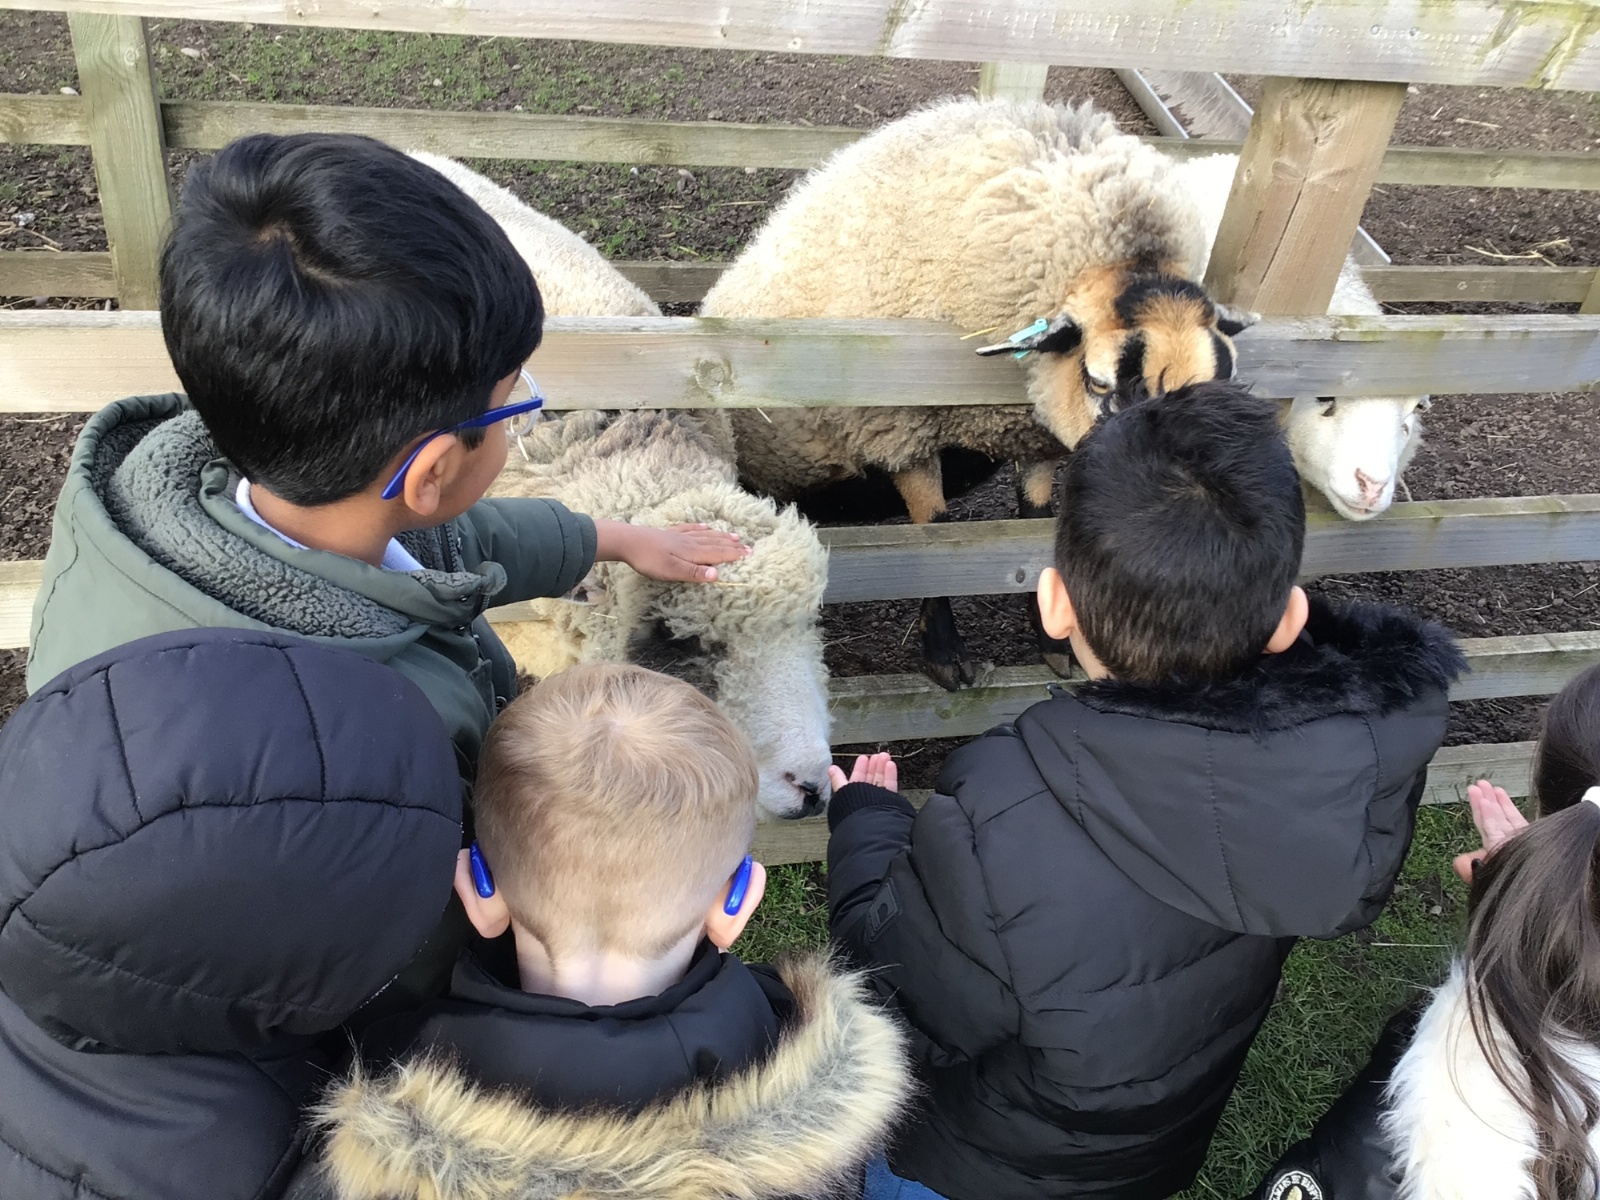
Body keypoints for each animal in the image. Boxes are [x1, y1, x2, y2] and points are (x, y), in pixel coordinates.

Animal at [698, 96, 1255, 690]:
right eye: (1098, 381)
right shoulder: (900, 431)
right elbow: (934, 536)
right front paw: (946, 656)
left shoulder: (1037, 431)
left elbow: (1033, 520)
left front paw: (1053, 643)